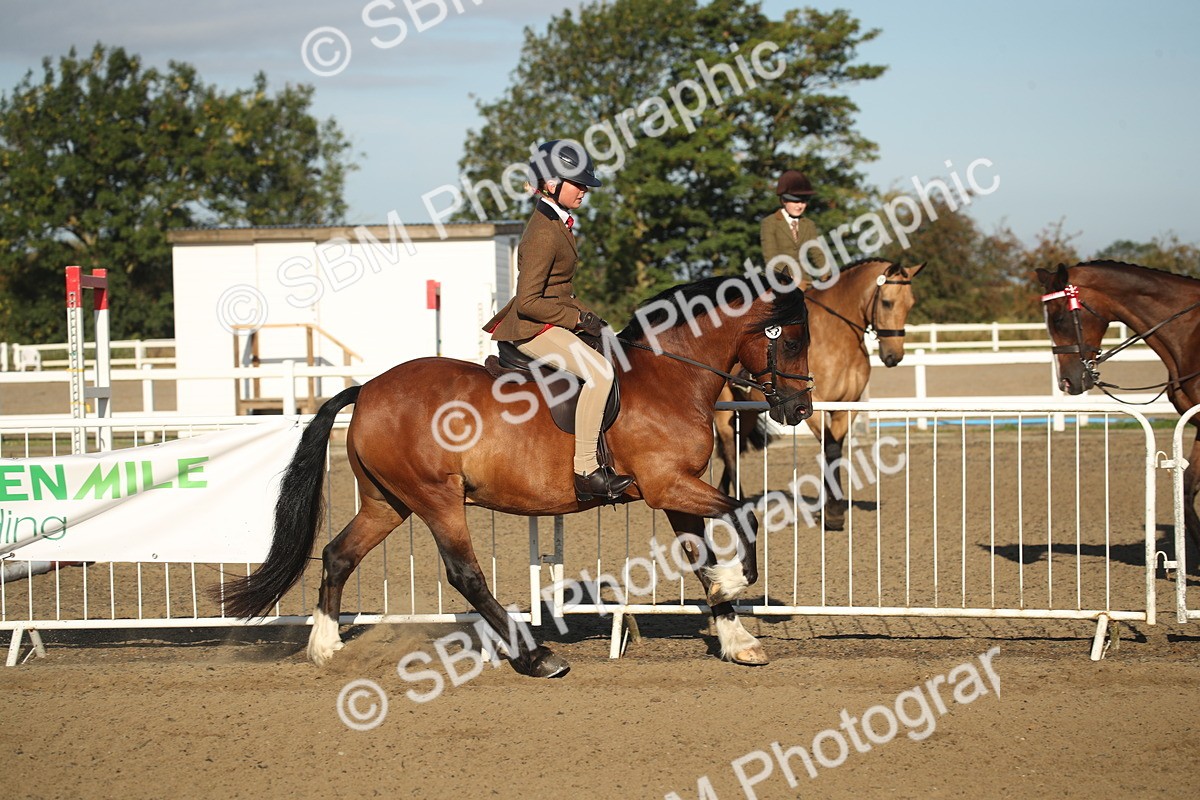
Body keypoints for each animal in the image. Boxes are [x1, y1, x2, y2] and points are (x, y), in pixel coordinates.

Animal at [218, 272, 814, 676]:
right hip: (437, 498)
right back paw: (536, 657)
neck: (670, 375)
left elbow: (702, 556)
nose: (799, 409)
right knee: (465, 575)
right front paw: (734, 581)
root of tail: (367, 390)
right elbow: (744, 513)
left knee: (339, 554)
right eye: (789, 339)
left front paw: (736, 638)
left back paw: (325, 647)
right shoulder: (667, 485)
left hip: (388, 501)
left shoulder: (676, 491)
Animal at [714, 259, 924, 528]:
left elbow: (835, 449)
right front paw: (833, 512)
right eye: (887, 302)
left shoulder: (848, 406)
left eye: (911, 303)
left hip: (747, 411)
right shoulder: (813, 406)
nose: (893, 355)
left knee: (736, 448)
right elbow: (830, 448)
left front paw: (829, 506)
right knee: (730, 448)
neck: (837, 336)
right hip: (723, 408)